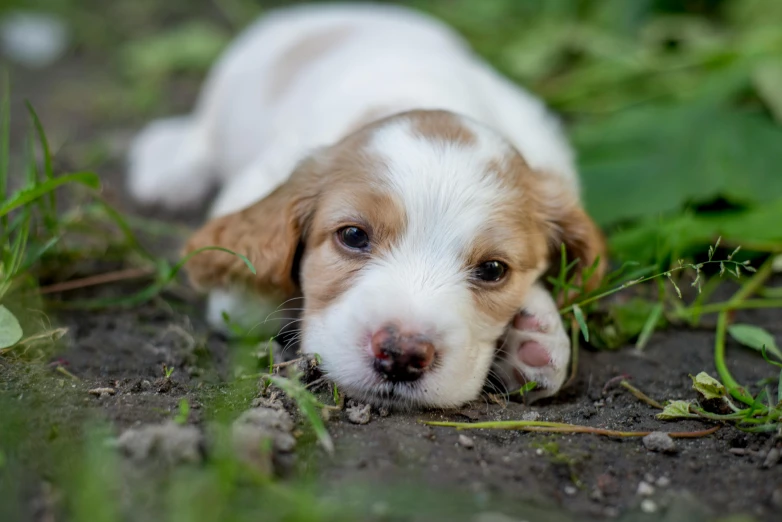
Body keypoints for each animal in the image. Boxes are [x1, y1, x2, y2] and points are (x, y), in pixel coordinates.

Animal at [127, 5, 608, 410]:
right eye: (354, 236)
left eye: (493, 270)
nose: (402, 355)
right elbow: (246, 296)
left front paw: (535, 335)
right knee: (201, 135)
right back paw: (169, 171)